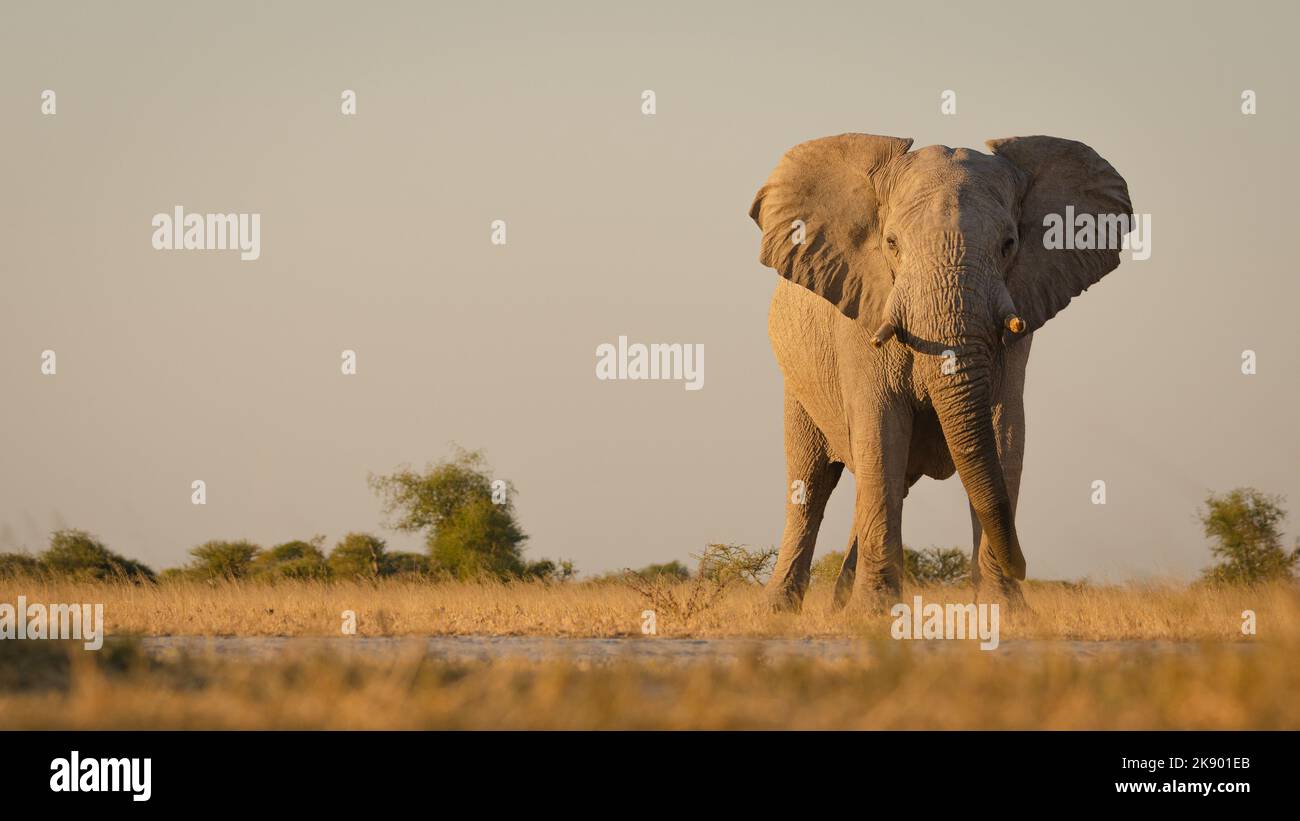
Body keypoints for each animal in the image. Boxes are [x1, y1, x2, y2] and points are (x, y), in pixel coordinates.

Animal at [748, 133, 1133, 610]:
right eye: (891, 243)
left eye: (1009, 244)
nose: (1023, 566)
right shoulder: (862, 316)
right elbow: (880, 429)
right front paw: (874, 613)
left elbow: (1005, 432)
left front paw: (1004, 611)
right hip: (798, 386)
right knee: (811, 485)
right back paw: (779, 611)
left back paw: (838, 605)